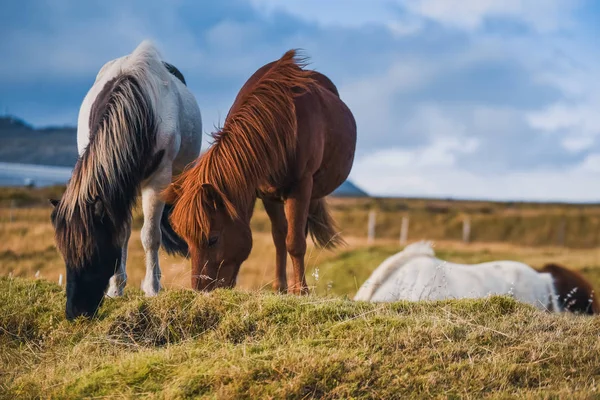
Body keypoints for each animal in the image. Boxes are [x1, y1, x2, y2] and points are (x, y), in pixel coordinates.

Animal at [49, 40, 204, 320]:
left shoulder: (158, 180)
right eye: (64, 255)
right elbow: (121, 232)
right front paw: (116, 288)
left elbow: (150, 236)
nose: (75, 312)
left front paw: (152, 289)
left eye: (95, 253)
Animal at [162, 50, 356, 294]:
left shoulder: (300, 186)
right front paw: (280, 287)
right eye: (186, 239)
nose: (201, 290)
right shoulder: (267, 193)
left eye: (213, 239)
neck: (281, 123)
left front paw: (300, 290)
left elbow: (295, 242)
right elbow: (279, 237)